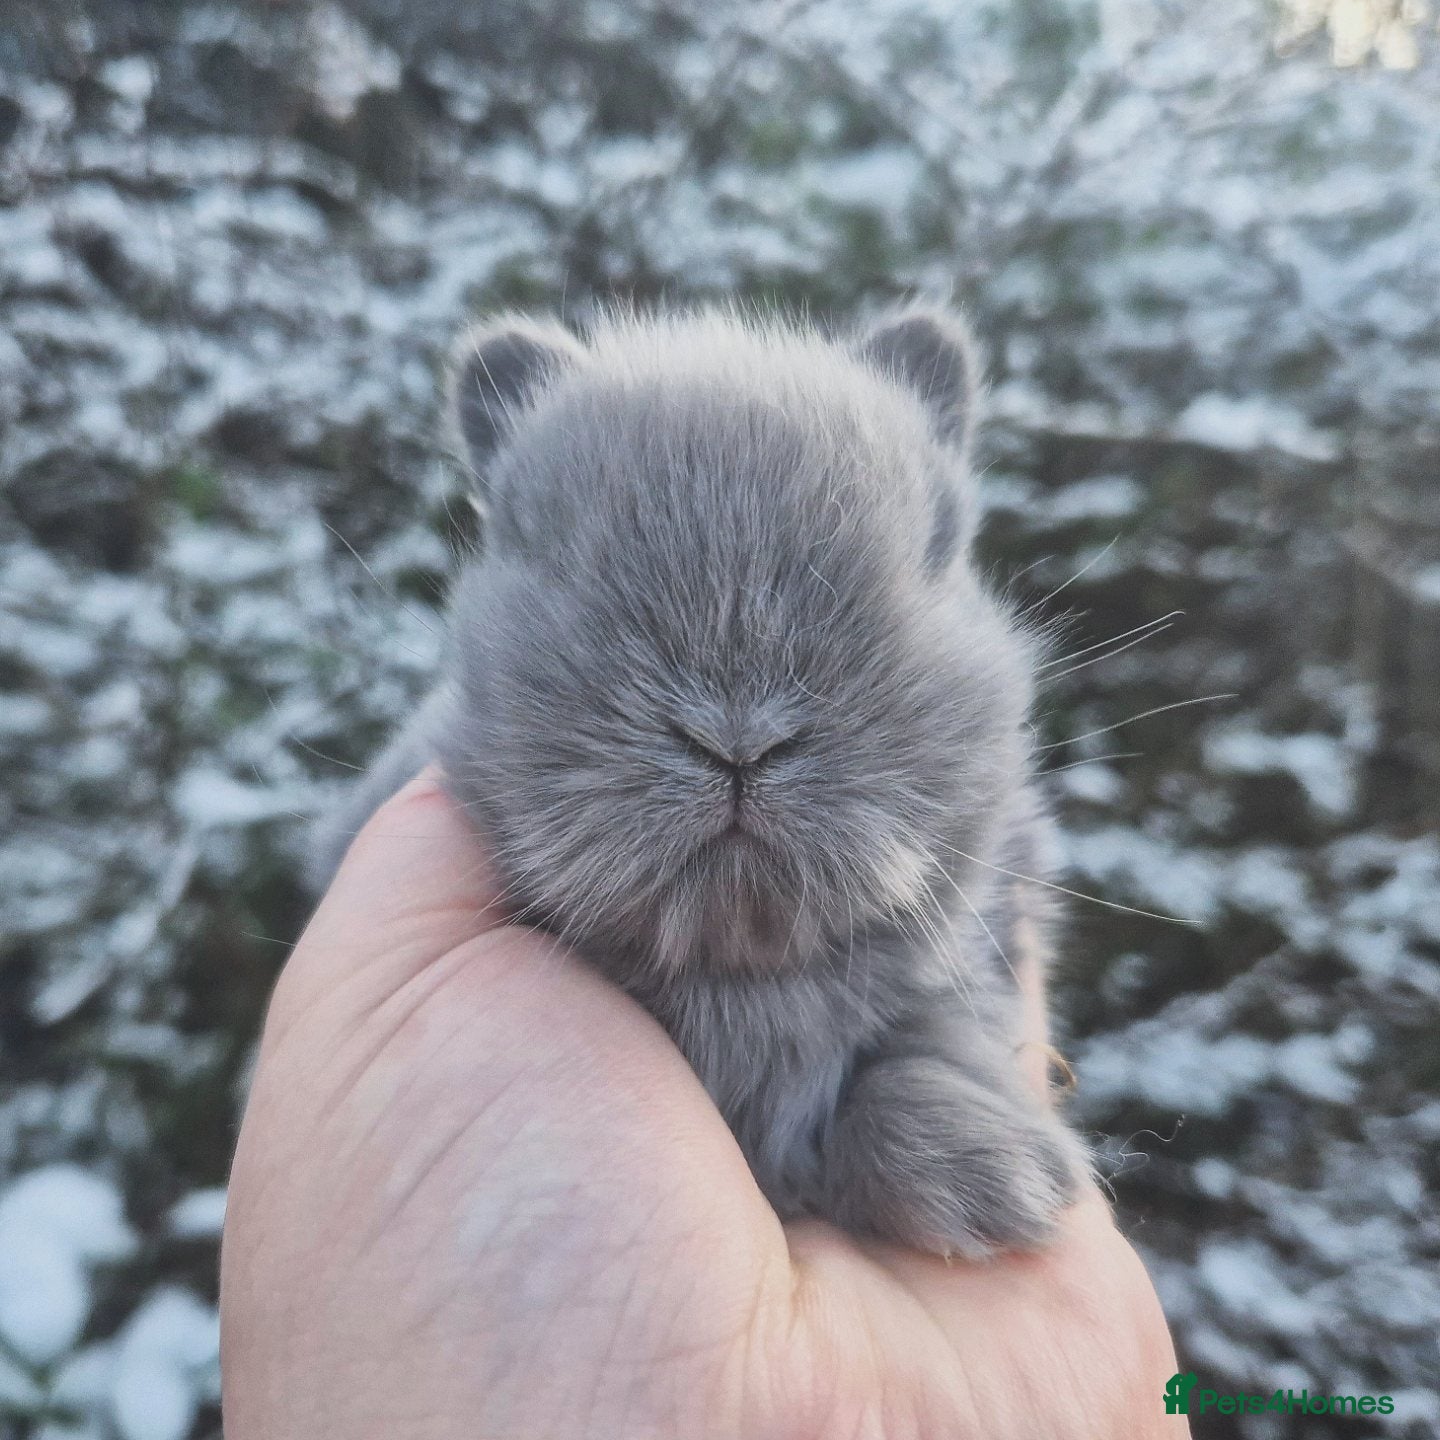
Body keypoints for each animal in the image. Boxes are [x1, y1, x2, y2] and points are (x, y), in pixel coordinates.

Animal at [309, 303, 1087, 1257]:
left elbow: (922, 1040)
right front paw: (1001, 1180)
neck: (739, 967)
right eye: (548, 555)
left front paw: (993, 1174)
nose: (737, 739)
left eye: (934, 554)